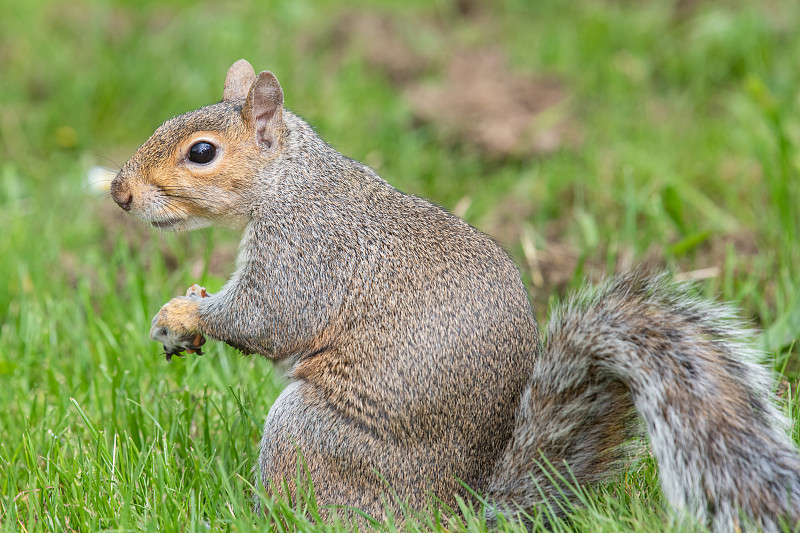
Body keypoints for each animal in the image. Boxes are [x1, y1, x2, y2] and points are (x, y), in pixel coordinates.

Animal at [109, 60, 800, 528]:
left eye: (202, 152)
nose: (119, 192)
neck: (292, 181)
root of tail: (451, 511)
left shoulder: (306, 256)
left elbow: (265, 318)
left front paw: (183, 312)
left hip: (310, 436)